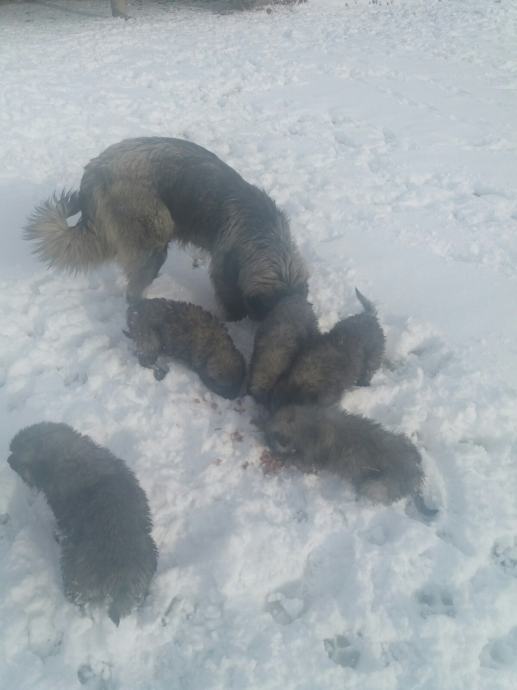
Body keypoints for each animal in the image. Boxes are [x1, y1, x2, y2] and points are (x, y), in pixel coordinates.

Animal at [264, 405, 424, 504]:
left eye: (278, 435)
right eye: (274, 435)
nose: (275, 444)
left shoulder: (310, 457)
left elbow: (299, 460)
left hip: (376, 486)